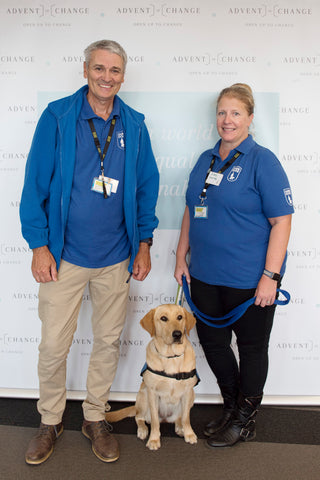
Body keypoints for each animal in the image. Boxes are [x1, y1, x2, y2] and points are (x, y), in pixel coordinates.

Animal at [106, 304, 199, 450]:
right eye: (163, 318)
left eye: (180, 317)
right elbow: (155, 421)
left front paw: (189, 434)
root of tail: (166, 418)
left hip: (192, 397)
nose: (177, 334)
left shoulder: (188, 391)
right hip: (143, 395)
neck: (171, 357)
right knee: (139, 417)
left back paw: (179, 427)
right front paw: (154, 439)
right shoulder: (152, 392)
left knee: (179, 417)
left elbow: (186, 418)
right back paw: (143, 430)